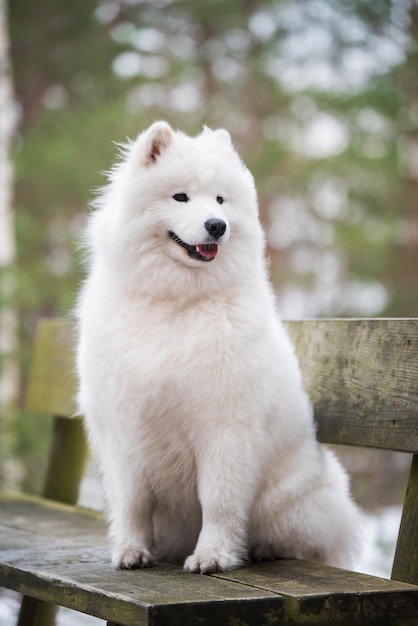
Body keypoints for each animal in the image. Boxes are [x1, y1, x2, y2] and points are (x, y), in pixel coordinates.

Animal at [76, 120, 364, 572]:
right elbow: (133, 502)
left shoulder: (225, 427)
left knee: (308, 542)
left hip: (296, 498)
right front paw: (131, 551)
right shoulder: (124, 430)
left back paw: (267, 548)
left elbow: (219, 500)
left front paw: (213, 555)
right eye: (180, 196)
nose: (217, 225)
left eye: (220, 200)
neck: (176, 303)